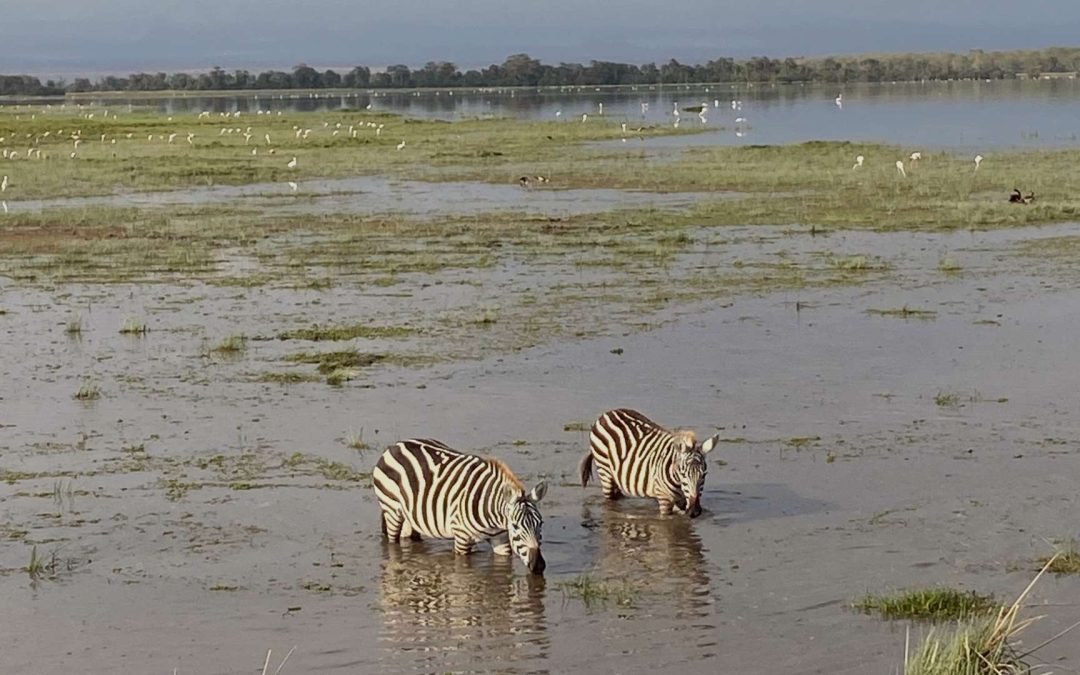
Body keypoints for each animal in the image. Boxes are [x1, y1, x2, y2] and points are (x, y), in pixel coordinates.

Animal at [375, 436, 552, 574]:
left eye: (541, 523)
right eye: (515, 526)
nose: (538, 566)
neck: (494, 518)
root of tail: (396, 445)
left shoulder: (501, 539)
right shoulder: (462, 537)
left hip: (411, 515)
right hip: (392, 511)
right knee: (392, 542)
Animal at [578, 410, 721, 516]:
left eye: (704, 475)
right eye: (683, 474)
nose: (694, 512)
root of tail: (606, 414)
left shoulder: (681, 501)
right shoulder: (664, 499)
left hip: (617, 474)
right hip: (605, 471)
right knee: (609, 500)